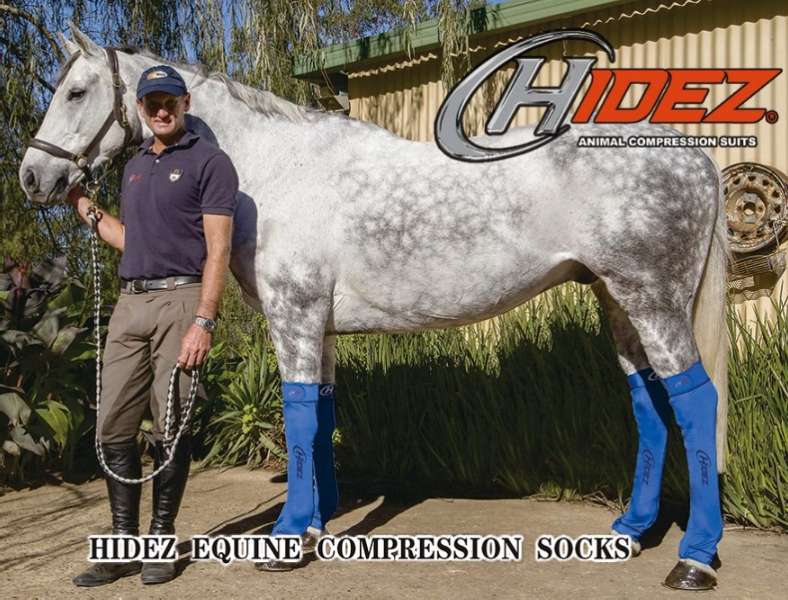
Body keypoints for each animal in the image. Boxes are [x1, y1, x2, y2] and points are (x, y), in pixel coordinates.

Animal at [20, 24, 728, 589]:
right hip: (617, 302)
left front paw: (287, 537)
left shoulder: (295, 316)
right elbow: (320, 416)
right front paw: (316, 523)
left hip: (651, 299)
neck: (275, 168)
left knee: (695, 401)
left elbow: (297, 415)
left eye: (76, 92)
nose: (33, 177)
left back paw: (693, 559)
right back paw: (630, 530)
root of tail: (690, 155)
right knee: (648, 401)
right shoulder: (321, 327)